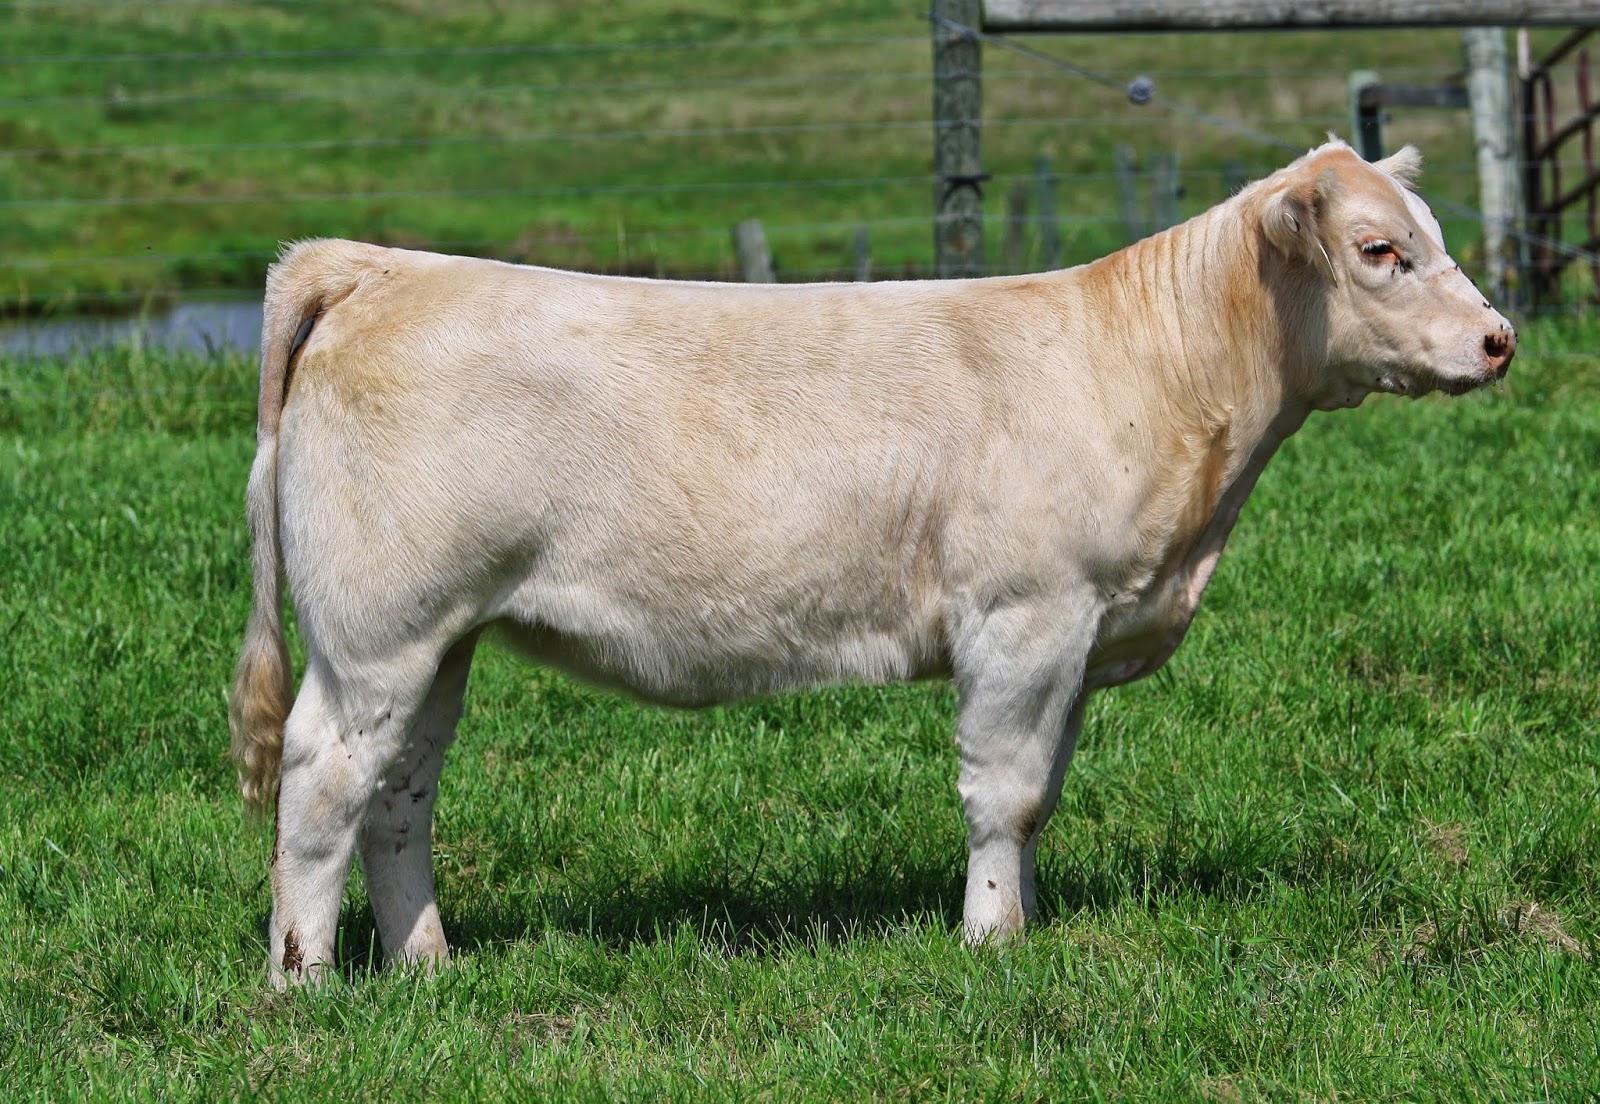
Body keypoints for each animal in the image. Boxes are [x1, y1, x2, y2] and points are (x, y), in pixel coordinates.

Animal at [229, 140, 1515, 986]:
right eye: (1379, 248)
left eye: (1436, 235)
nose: (1499, 339)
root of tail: (379, 264)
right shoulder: (1024, 616)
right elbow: (1004, 792)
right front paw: (990, 941)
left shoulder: (1081, 631)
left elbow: (1042, 796)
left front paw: (1020, 923)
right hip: (378, 632)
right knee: (323, 779)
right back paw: (305, 982)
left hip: (440, 637)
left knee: (400, 796)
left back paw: (428, 967)